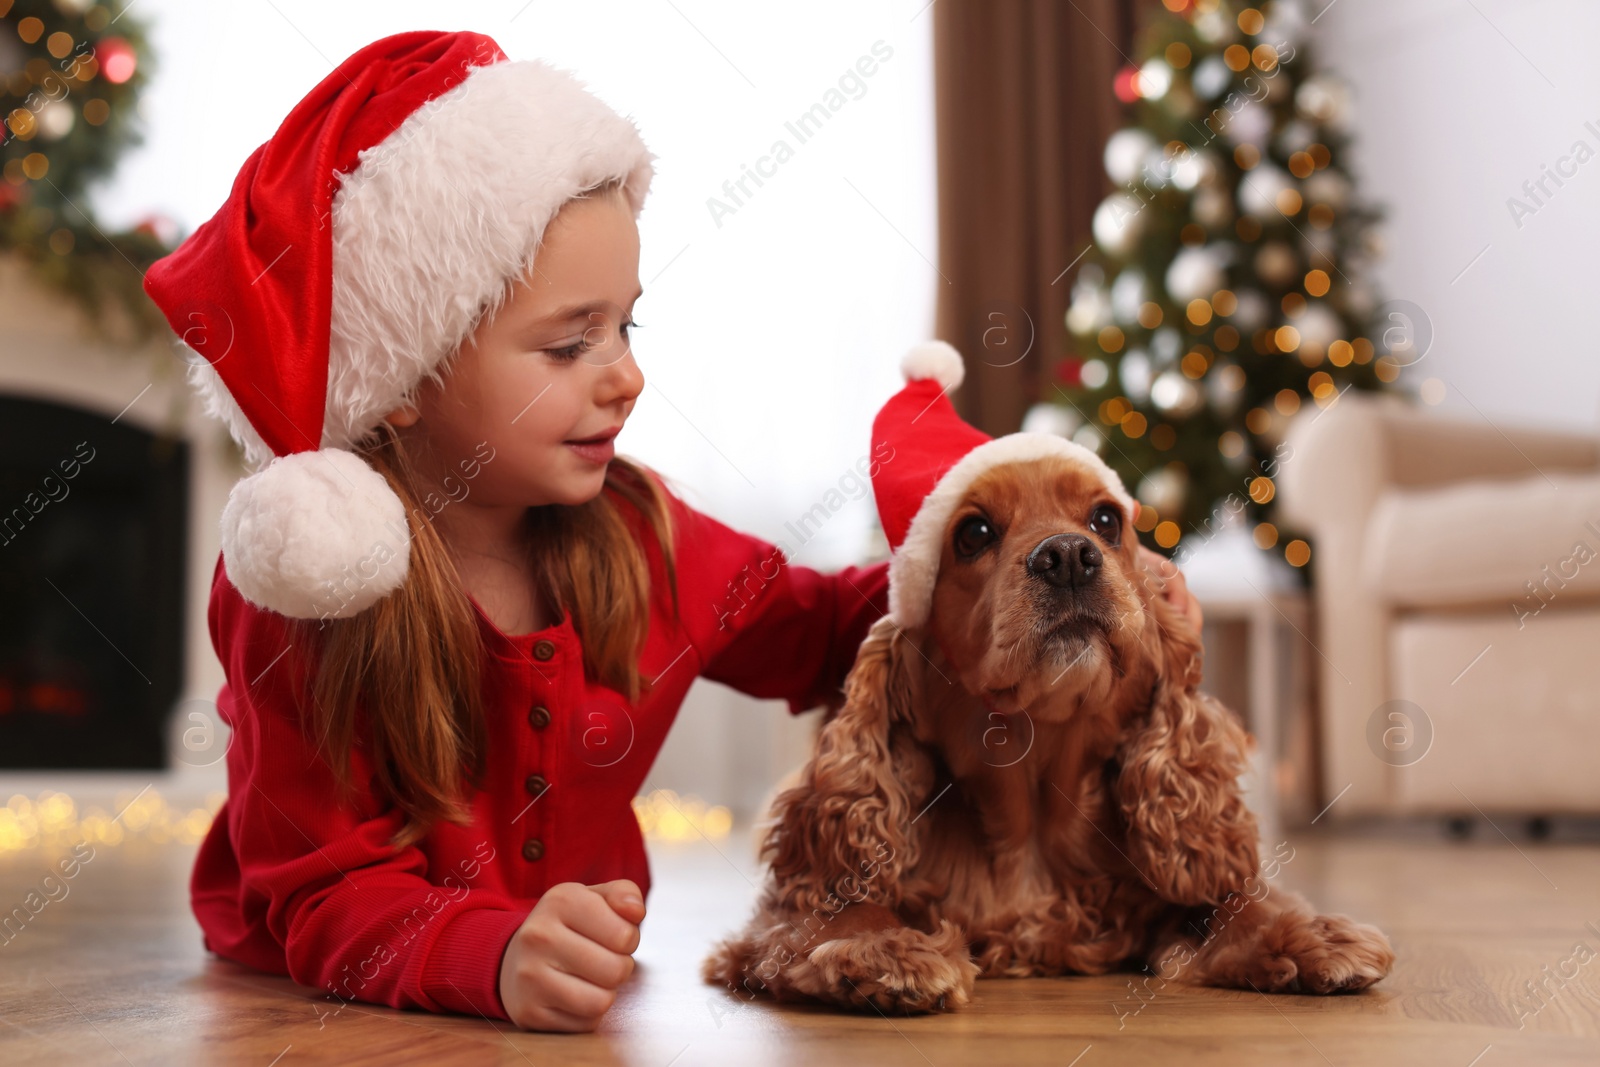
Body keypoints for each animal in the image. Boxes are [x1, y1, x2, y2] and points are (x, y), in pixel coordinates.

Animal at [700, 454, 1388, 1017]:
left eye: (1107, 520)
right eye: (973, 532)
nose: (1069, 557)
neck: (1032, 801)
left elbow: (1234, 895)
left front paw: (1308, 935)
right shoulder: (781, 909)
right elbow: (837, 904)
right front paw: (879, 948)